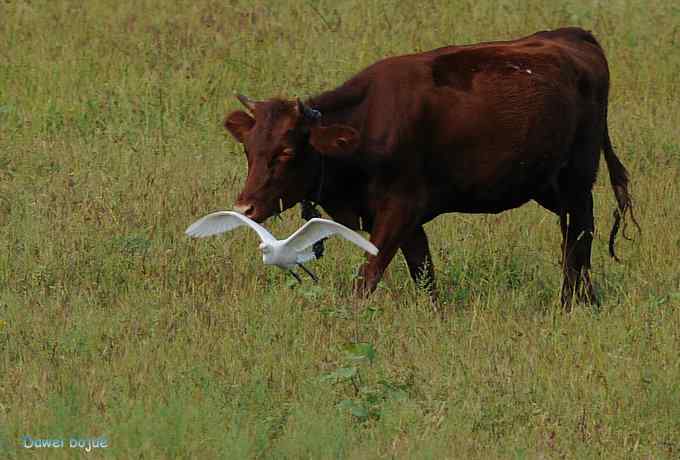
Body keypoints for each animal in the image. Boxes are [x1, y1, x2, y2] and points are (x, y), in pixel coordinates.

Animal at [223, 28, 636, 310]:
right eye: (249, 149)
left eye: (287, 152)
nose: (245, 208)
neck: (367, 127)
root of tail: (570, 35)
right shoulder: (405, 219)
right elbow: (423, 272)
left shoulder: (400, 208)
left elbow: (368, 275)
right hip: (547, 184)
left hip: (577, 180)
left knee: (579, 238)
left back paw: (574, 303)